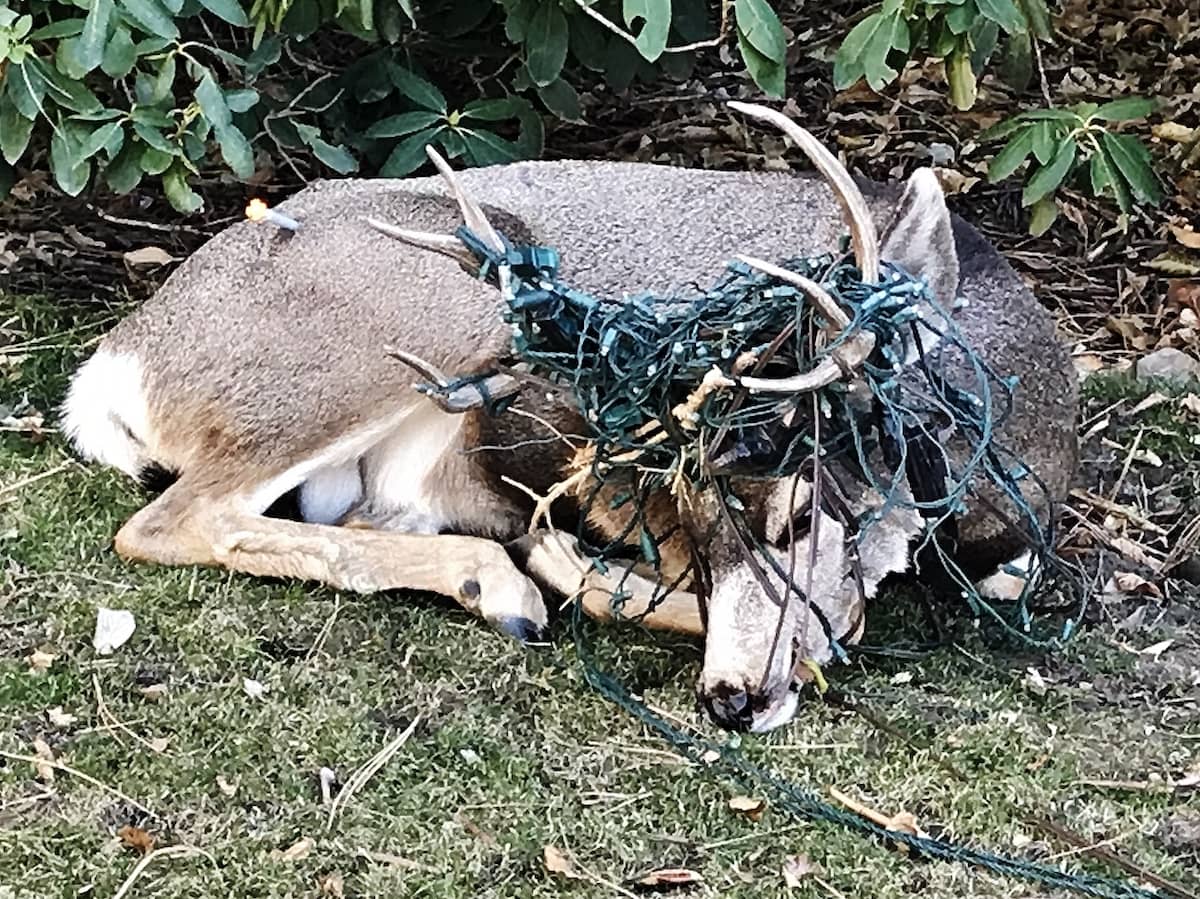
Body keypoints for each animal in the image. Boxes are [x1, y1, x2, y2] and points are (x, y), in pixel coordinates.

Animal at [63, 101, 1080, 734]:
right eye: (697, 511)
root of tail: (119, 360)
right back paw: (505, 584)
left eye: (800, 516)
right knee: (168, 519)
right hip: (447, 300)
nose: (731, 698)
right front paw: (564, 562)